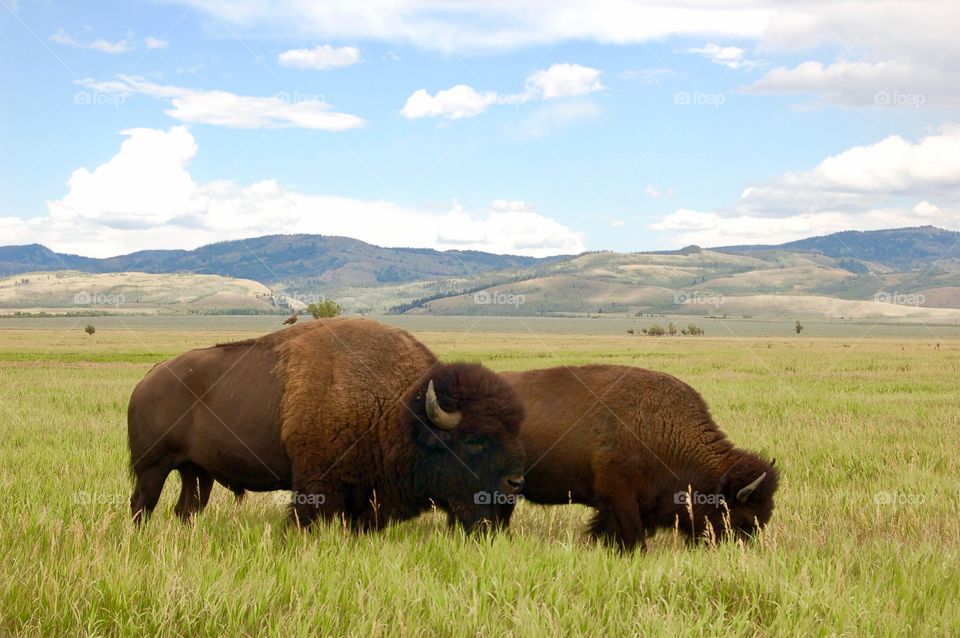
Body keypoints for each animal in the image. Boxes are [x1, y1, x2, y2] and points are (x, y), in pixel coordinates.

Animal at [127, 318, 526, 532]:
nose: (515, 482)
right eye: (474, 441)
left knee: (187, 509)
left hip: (196, 472)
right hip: (153, 467)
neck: (399, 409)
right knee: (142, 504)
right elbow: (306, 519)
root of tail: (148, 378)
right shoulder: (315, 486)